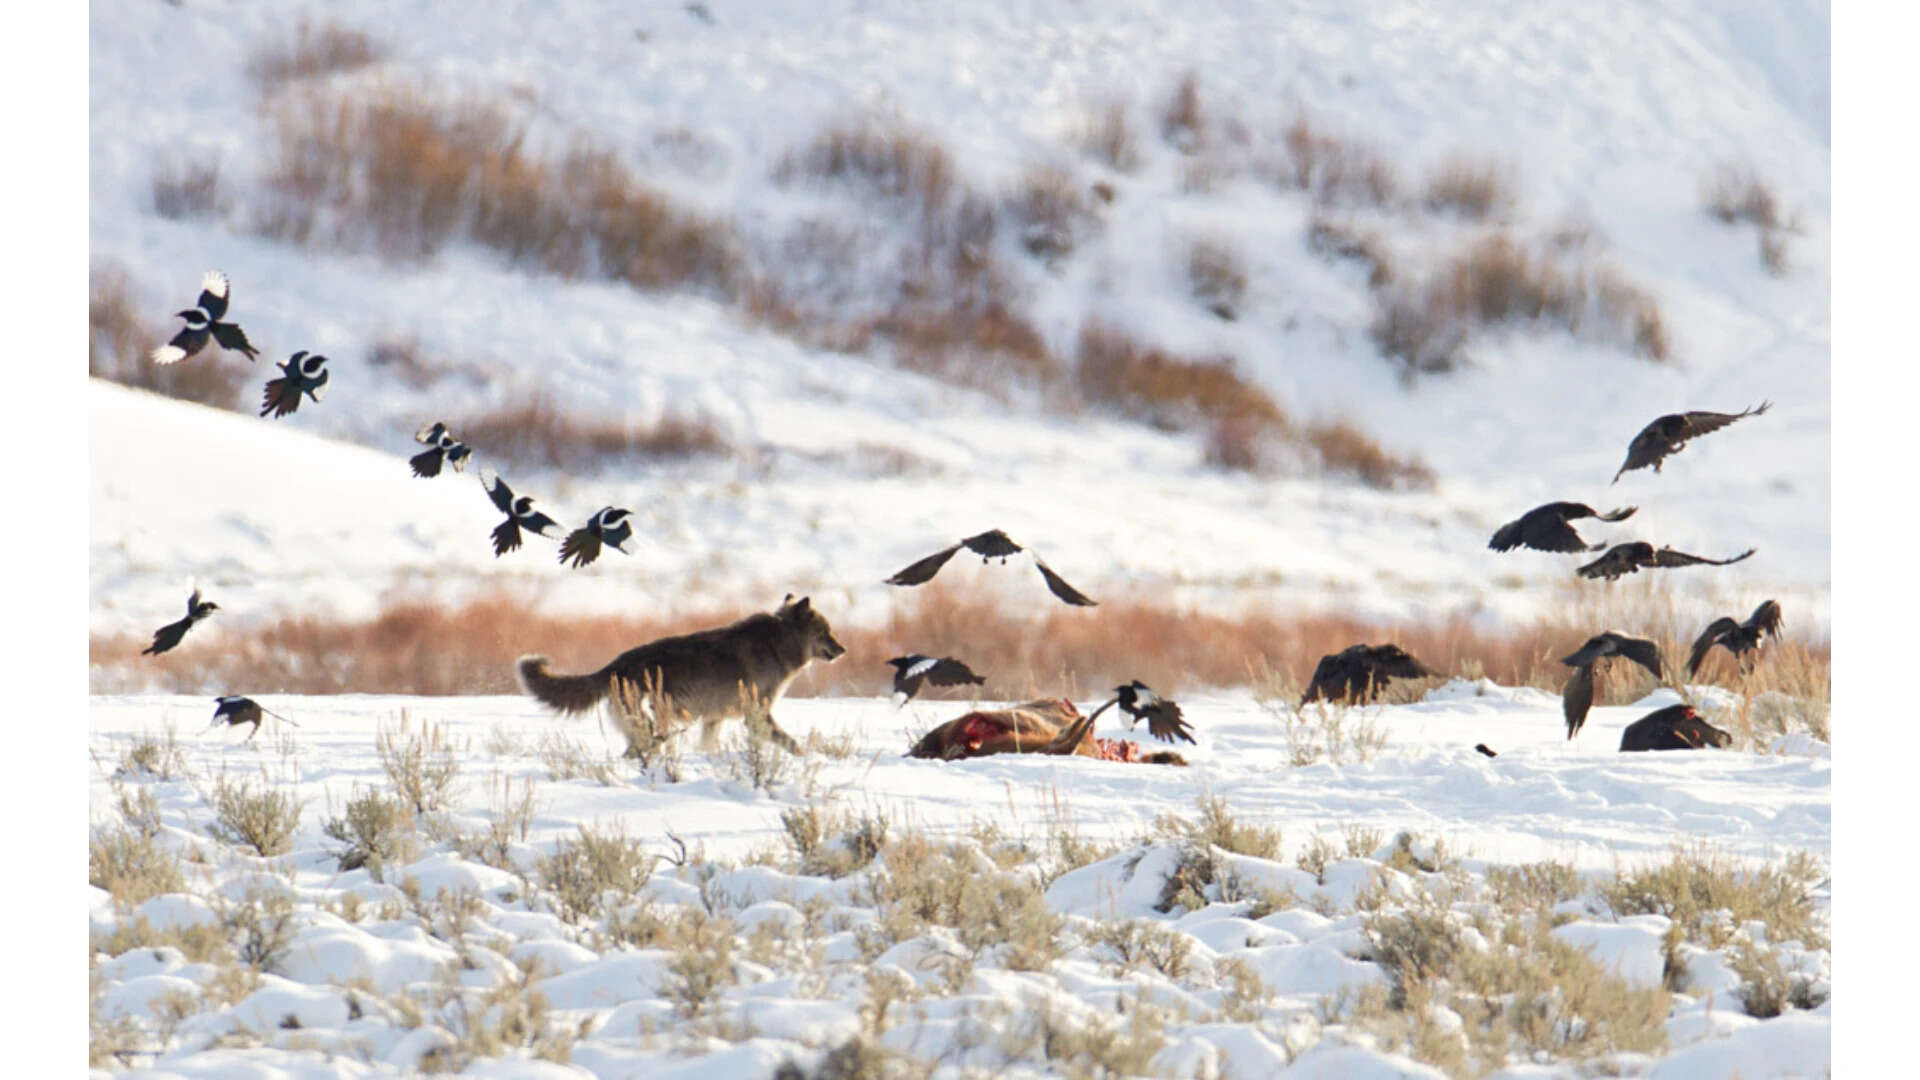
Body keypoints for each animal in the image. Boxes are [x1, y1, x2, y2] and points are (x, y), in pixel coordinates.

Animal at [517, 595, 845, 755]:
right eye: (826, 632)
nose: (843, 650)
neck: (779, 644)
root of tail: (613, 666)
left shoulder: (714, 720)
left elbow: (709, 748)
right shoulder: (756, 717)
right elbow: (793, 745)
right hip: (653, 729)